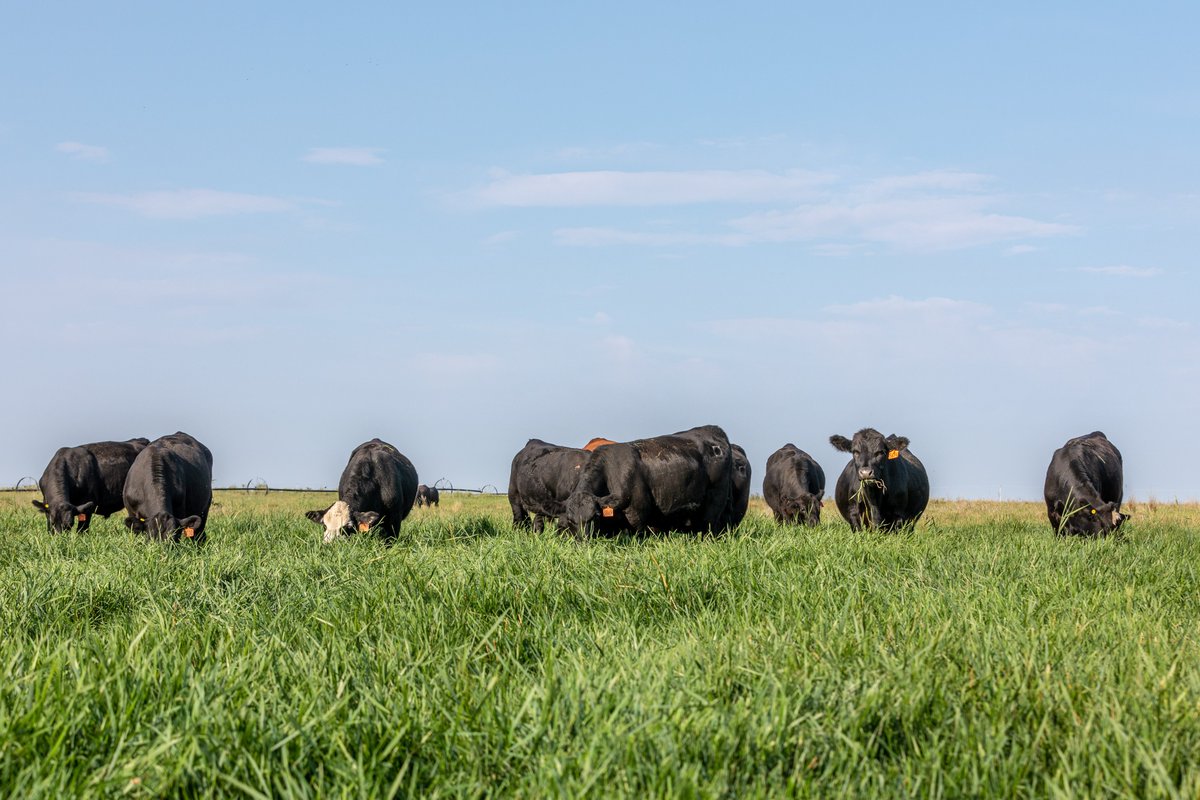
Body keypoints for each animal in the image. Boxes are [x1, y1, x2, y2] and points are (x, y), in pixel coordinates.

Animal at [560, 424, 735, 536]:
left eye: (595, 516)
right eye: (570, 520)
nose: (583, 541)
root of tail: (713, 429)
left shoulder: (638, 512)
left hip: (716, 499)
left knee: (709, 526)